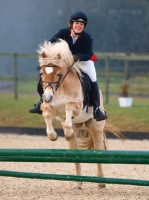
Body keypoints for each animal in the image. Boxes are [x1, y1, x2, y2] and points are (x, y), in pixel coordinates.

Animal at [37, 38, 123, 189]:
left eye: (58, 74)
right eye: (42, 74)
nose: (47, 97)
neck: (61, 87)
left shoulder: (76, 106)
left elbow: (68, 107)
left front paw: (66, 130)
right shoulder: (51, 107)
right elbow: (47, 113)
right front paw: (53, 135)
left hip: (96, 127)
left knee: (98, 150)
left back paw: (101, 182)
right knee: (75, 153)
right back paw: (78, 183)